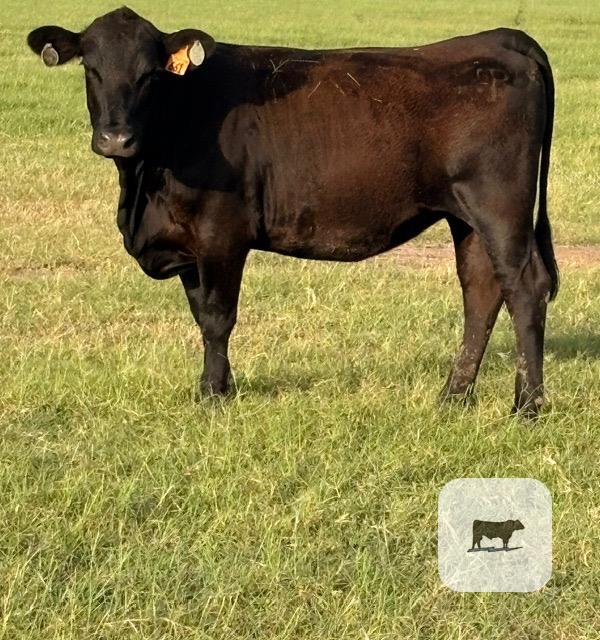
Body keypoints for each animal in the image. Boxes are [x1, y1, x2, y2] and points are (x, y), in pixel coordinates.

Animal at [27, 7, 558, 416]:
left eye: (150, 74)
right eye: (91, 68)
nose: (116, 138)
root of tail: (499, 37)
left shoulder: (221, 232)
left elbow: (218, 317)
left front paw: (213, 397)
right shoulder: (189, 243)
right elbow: (200, 315)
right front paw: (219, 388)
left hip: (499, 206)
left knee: (524, 288)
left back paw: (526, 407)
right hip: (464, 215)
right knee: (481, 291)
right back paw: (452, 397)